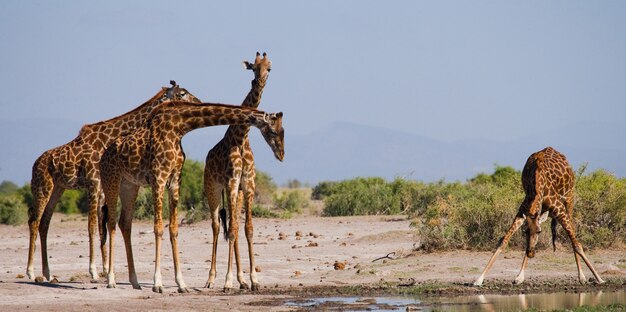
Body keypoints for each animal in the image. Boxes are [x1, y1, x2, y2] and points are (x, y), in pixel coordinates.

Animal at [25, 81, 197, 282]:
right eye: (182, 93)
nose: (198, 102)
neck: (109, 138)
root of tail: (34, 165)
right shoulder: (93, 183)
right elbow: (92, 226)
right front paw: (94, 271)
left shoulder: (101, 188)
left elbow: (103, 228)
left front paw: (106, 270)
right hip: (42, 187)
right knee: (34, 220)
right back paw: (31, 271)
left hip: (57, 189)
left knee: (45, 222)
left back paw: (47, 272)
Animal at [98, 100, 284, 292]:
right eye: (274, 131)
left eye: (282, 130)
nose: (281, 154)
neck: (179, 127)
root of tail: (103, 155)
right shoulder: (158, 178)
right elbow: (158, 228)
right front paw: (158, 283)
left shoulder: (174, 180)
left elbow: (173, 229)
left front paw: (181, 283)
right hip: (111, 180)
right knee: (111, 223)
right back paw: (111, 279)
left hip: (129, 186)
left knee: (124, 223)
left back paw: (135, 282)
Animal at [204, 50, 272, 290]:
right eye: (253, 67)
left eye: (269, 68)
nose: (259, 82)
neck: (242, 136)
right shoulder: (232, 182)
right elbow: (231, 230)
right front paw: (227, 281)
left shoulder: (247, 185)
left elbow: (247, 229)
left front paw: (253, 280)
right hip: (213, 189)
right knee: (217, 226)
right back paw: (211, 278)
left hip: (237, 193)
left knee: (233, 224)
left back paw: (241, 280)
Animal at [476, 147, 604, 286]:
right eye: (525, 232)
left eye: (539, 231)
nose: (531, 253)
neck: (537, 184)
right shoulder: (523, 211)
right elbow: (503, 241)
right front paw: (479, 279)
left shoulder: (559, 209)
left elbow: (577, 244)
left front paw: (598, 278)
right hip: (544, 210)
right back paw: (520, 276)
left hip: (569, 198)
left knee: (573, 232)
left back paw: (582, 276)